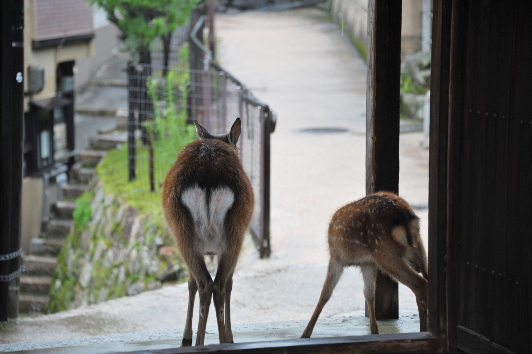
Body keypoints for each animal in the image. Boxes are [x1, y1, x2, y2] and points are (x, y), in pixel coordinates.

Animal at [162, 117, 254, 344]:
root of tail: (208, 172)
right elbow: (220, 282)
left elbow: (193, 282)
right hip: (232, 234)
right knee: (215, 284)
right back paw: (218, 340)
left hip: (186, 233)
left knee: (209, 283)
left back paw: (204, 342)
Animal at [304, 191, 428, 338]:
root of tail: (402, 216)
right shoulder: (367, 263)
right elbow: (369, 294)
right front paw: (374, 331)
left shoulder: (336, 257)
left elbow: (325, 294)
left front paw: (305, 334)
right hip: (418, 246)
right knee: (427, 279)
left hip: (384, 250)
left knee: (420, 284)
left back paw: (423, 331)